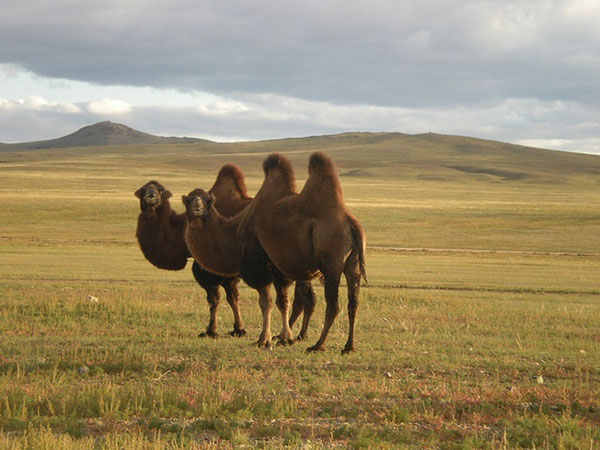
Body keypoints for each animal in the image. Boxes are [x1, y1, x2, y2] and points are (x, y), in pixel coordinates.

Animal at [134, 163, 251, 338]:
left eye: (161, 190)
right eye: (143, 189)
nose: (151, 197)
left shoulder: (214, 269)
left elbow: (220, 298)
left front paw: (215, 331)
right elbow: (226, 297)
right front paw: (234, 329)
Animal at [239, 153, 366, 354]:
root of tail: (352, 224)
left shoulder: (264, 262)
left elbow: (273, 300)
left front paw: (272, 338)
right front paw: (282, 336)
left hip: (331, 264)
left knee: (333, 306)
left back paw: (318, 345)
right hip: (353, 265)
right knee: (353, 303)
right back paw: (349, 346)